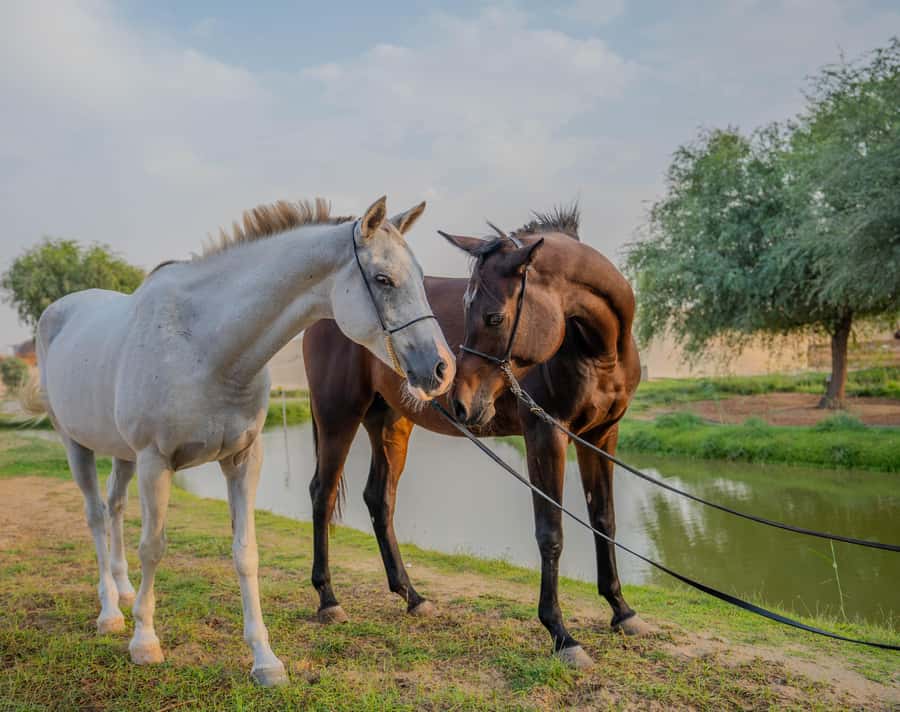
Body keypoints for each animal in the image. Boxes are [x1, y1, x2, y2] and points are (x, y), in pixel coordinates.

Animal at [20, 196, 455, 686]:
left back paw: (125, 590)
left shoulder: (244, 459)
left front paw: (265, 660)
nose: (441, 369)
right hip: (77, 445)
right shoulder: (155, 463)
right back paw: (111, 612)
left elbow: (246, 554)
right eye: (383, 279)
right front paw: (144, 641)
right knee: (96, 516)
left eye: (419, 277)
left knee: (114, 509)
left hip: (121, 455)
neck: (205, 347)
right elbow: (154, 546)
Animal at [303, 205, 649, 669]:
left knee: (379, 499)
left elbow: (603, 520)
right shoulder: (546, 434)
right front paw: (561, 634)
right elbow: (551, 533)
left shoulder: (601, 435)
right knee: (322, 495)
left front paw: (621, 610)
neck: (596, 348)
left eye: (494, 317)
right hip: (338, 415)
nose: (462, 402)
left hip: (390, 422)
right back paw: (328, 599)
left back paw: (412, 596)